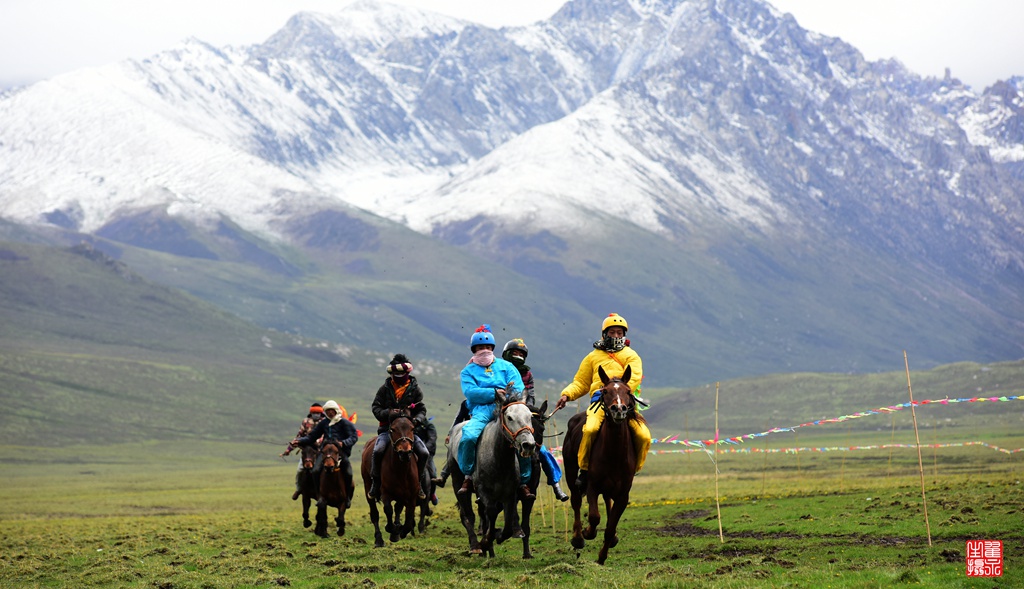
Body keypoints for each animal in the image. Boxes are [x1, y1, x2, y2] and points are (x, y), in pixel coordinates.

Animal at [360, 413, 419, 549]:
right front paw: (391, 529)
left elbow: (408, 517)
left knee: (398, 508)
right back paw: (379, 539)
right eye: (392, 429)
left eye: (412, 428)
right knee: (375, 514)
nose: (404, 452)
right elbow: (388, 510)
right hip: (367, 488)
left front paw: (400, 531)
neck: (401, 471)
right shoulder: (386, 493)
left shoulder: (411, 496)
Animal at [446, 397, 540, 557]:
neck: (499, 460)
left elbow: (508, 525)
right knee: (468, 516)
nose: (529, 445)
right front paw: (486, 541)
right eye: (509, 417)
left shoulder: (510, 495)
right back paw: (475, 546)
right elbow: (490, 513)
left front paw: (498, 536)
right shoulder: (484, 493)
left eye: (530, 416)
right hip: (457, 483)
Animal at [561, 366, 638, 565]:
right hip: (571, 470)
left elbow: (610, 527)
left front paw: (602, 557)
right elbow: (594, 516)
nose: (619, 409)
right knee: (576, 500)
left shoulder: (623, 495)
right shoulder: (592, 486)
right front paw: (588, 532)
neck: (614, 453)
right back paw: (578, 538)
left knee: (608, 501)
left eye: (628, 391)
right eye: (605, 391)